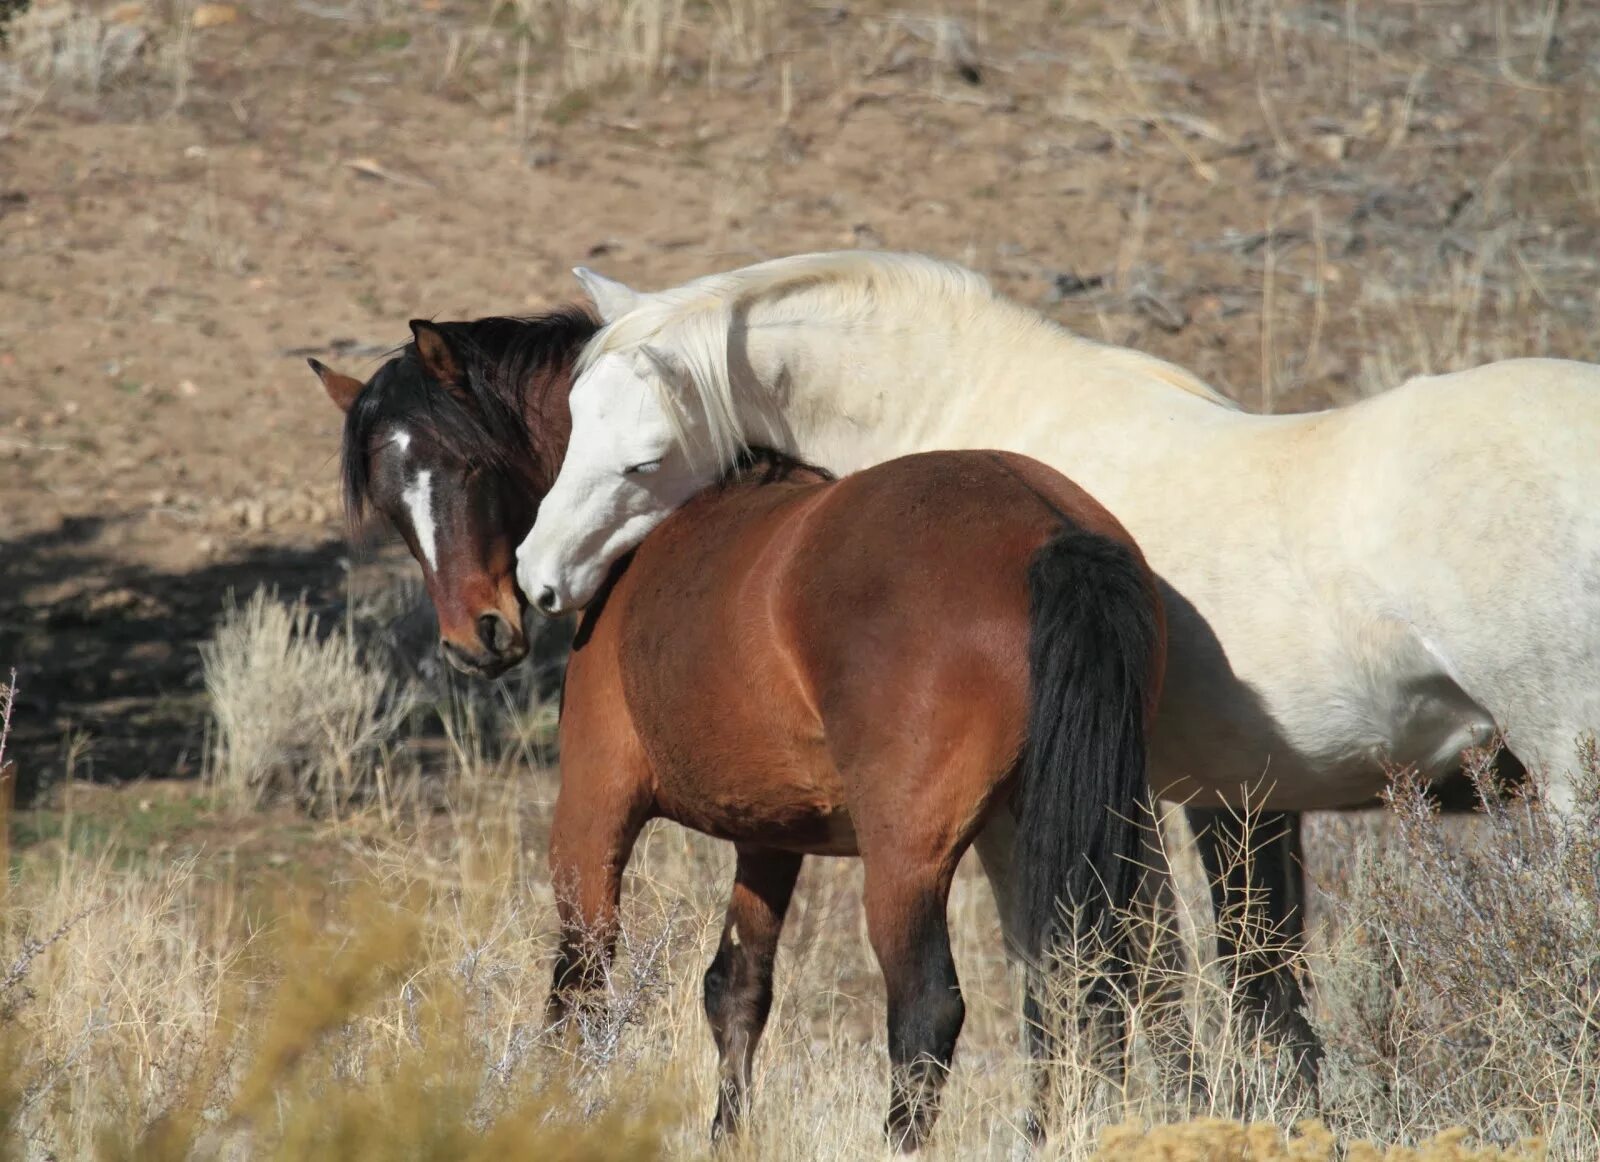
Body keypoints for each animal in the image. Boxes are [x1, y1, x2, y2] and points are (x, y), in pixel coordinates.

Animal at [312, 313, 1164, 1152]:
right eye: (390, 503)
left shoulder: (592, 810)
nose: (477, 638)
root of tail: (1047, 531)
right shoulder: (769, 836)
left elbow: (581, 984)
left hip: (907, 861)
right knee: (1074, 986)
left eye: (467, 465)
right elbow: (737, 990)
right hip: (1056, 835)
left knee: (928, 1010)